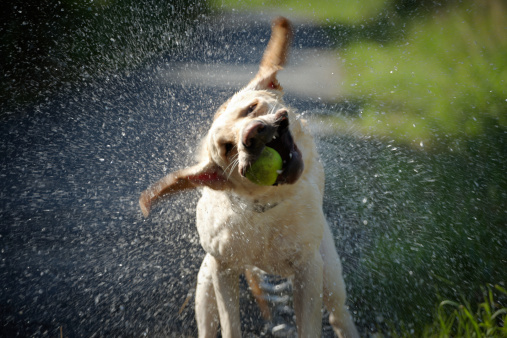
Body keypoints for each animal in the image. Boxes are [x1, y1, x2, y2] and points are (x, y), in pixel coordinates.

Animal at [139, 16, 360, 338]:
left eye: (251, 108)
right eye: (227, 147)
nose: (251, 134)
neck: (262, 211)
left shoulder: (308, 271)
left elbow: (309, 325)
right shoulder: (223, 270)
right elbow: (230, 324)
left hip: (329, 276)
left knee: (338, 315)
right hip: (206, 281)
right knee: (207, 322)